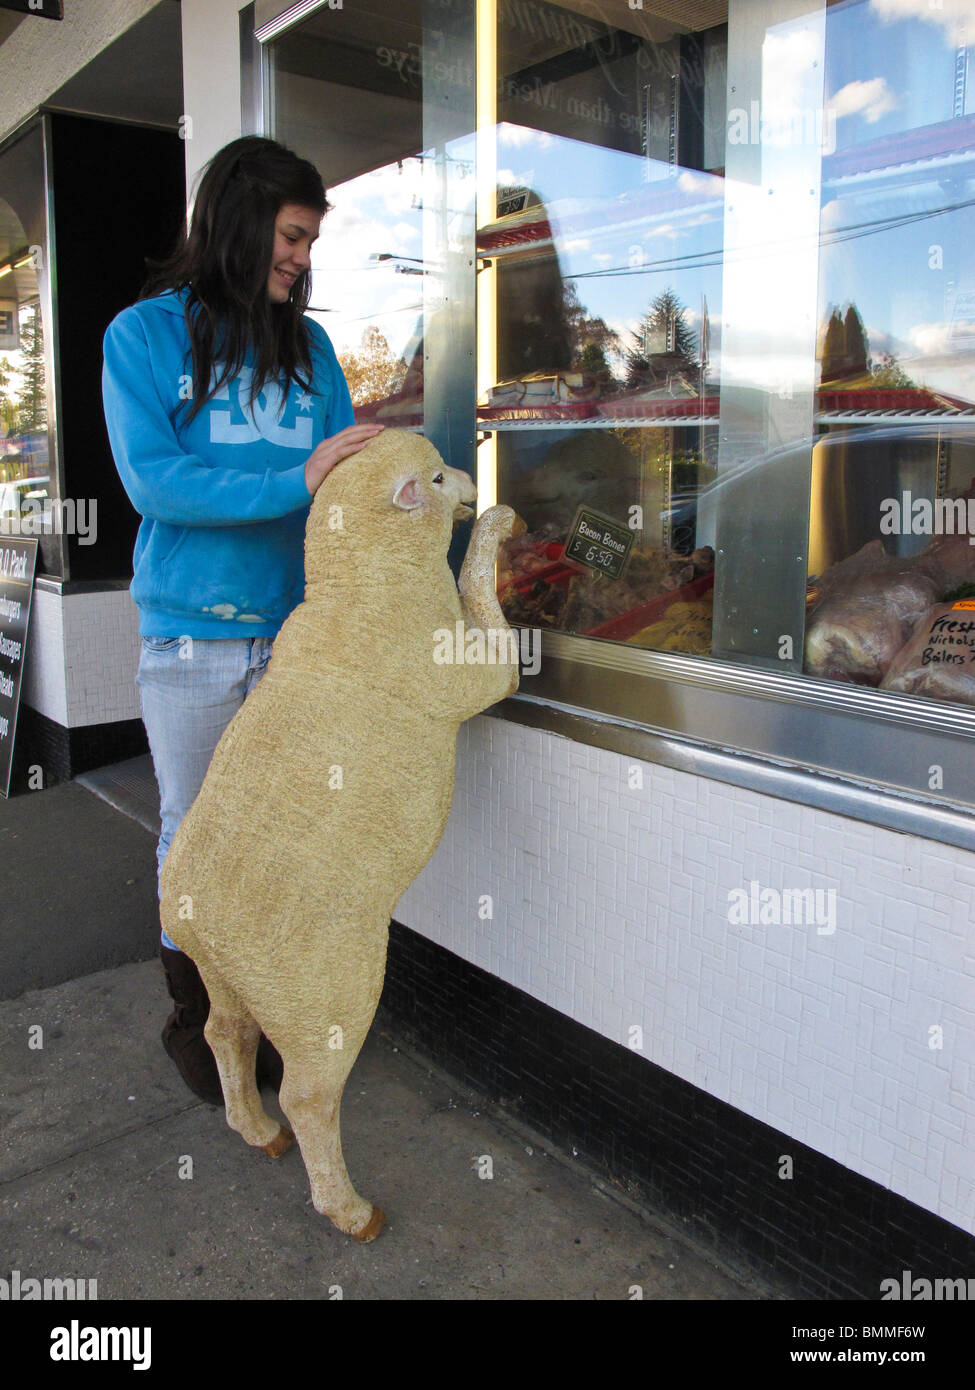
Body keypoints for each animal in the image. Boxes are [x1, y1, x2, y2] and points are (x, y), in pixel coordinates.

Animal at [159, 430, 525, 1239]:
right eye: (432, 477)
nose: (469, 482)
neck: (360, 588)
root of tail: (191, 917)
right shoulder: (471, 668)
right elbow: (488, 626)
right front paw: (498, 526)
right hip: (323, 996)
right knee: (308, 1095)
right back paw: (349, 1208)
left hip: (225, 976)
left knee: (225, 1034)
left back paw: (253, 1129)